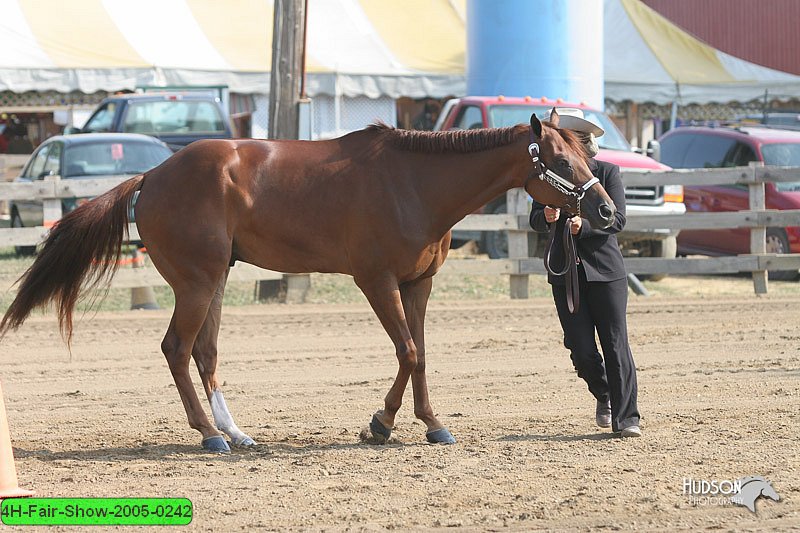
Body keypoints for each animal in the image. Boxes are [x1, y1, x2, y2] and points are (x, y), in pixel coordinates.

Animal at [0, 111, 616, 448]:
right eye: (562, 162)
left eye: (587, 157)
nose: (607, 212)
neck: (414, 183)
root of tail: (152, 174)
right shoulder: (375, 281)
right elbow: (408, 351)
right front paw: (380, 424)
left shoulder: (418, 284)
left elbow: (420, 353)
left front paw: (431, 424)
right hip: (196, 282)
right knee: (177, 348)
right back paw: (209, 436)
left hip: (214, 281)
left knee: (204, 352)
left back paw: (237, 433)